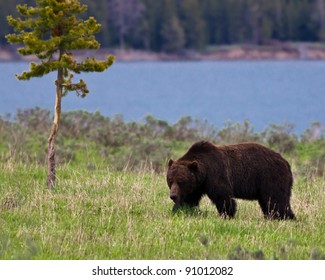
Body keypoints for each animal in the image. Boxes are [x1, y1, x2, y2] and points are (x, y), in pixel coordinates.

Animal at [166, 141, 294, 220]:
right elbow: (189, 199)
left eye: (181, 181)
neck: (204, 171)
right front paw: (179, 210)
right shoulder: (198, 185)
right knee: (269, 202)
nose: (173, 195)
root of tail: (286, 162)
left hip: (270, 177)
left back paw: (285, 217)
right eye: (170, 180)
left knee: (276, 200)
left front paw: (227, 214)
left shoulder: (216, 173)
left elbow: (222, 196)